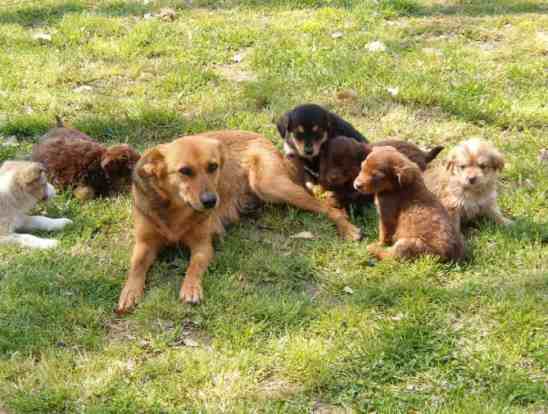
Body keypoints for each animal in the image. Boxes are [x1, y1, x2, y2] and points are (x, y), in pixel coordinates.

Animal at [116, 130, 362, 313]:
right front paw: (129, 292)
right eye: (184, 171)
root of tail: (263, 138)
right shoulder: (144, 243)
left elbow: (193, 267)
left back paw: (348, 228)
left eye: (213, 167)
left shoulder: (202, 245)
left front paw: (191, 288)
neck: (175, 210)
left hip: (270, 185)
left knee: (328, 208)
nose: (211, 201)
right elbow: (136, 266)